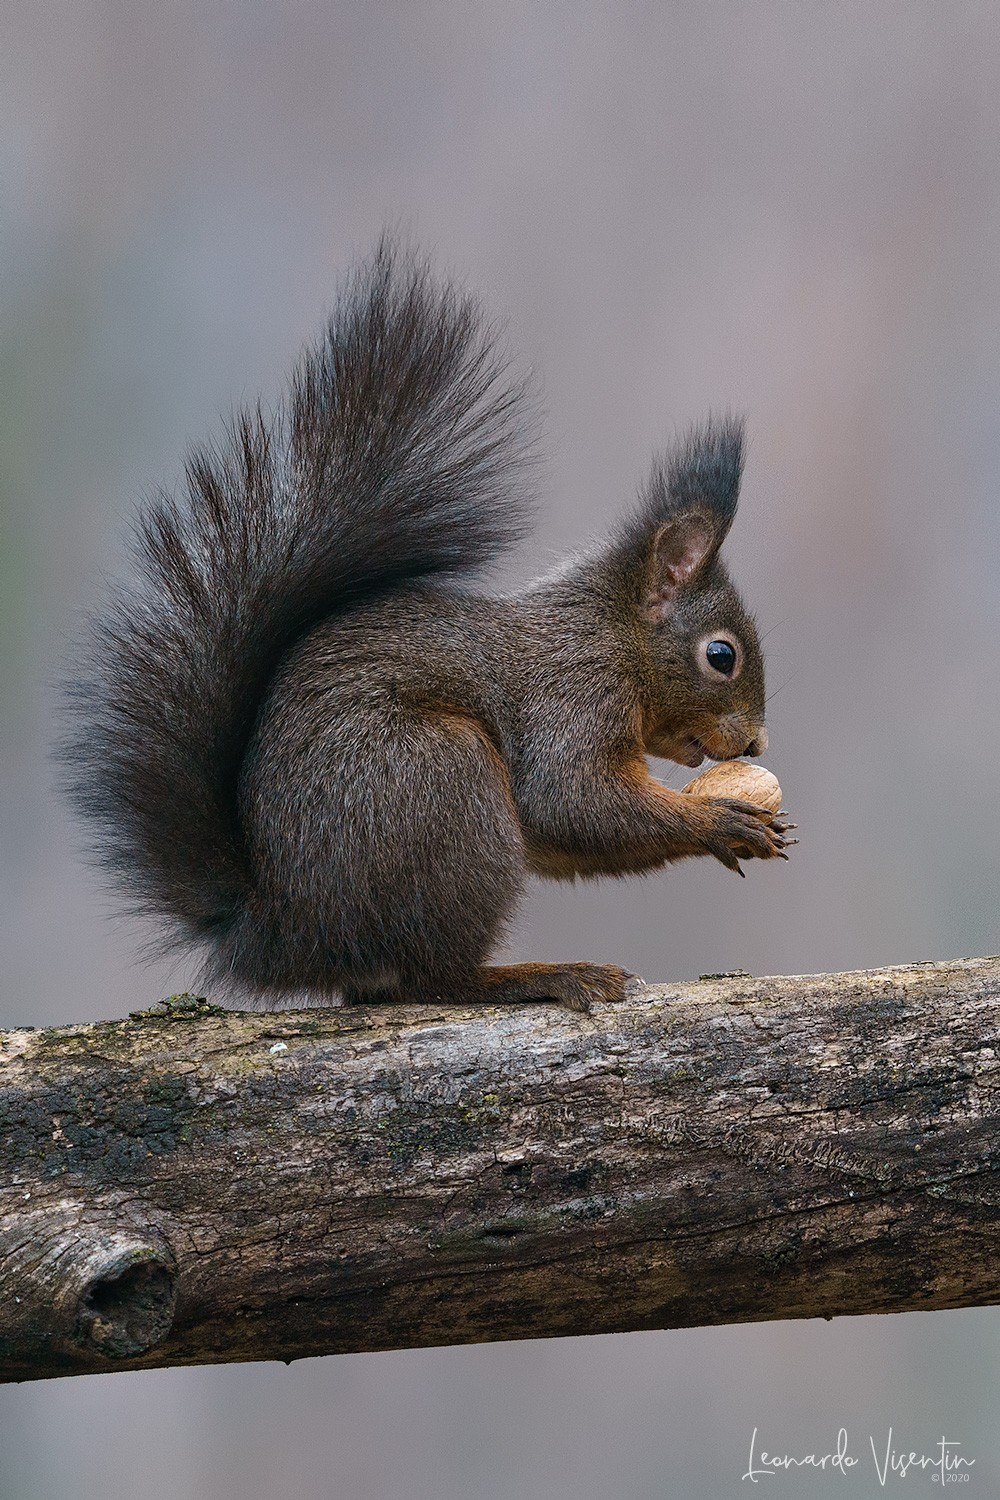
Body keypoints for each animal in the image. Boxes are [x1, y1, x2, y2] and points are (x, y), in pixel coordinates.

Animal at [62, 237, 795, 1013]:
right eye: (722, 655)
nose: (756, 741)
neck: (613, 634)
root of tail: (288, 932)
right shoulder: (571, 693)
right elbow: (572, 802)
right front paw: (722, 823)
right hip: (443, 780)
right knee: (434, 977)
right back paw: (539, 975)